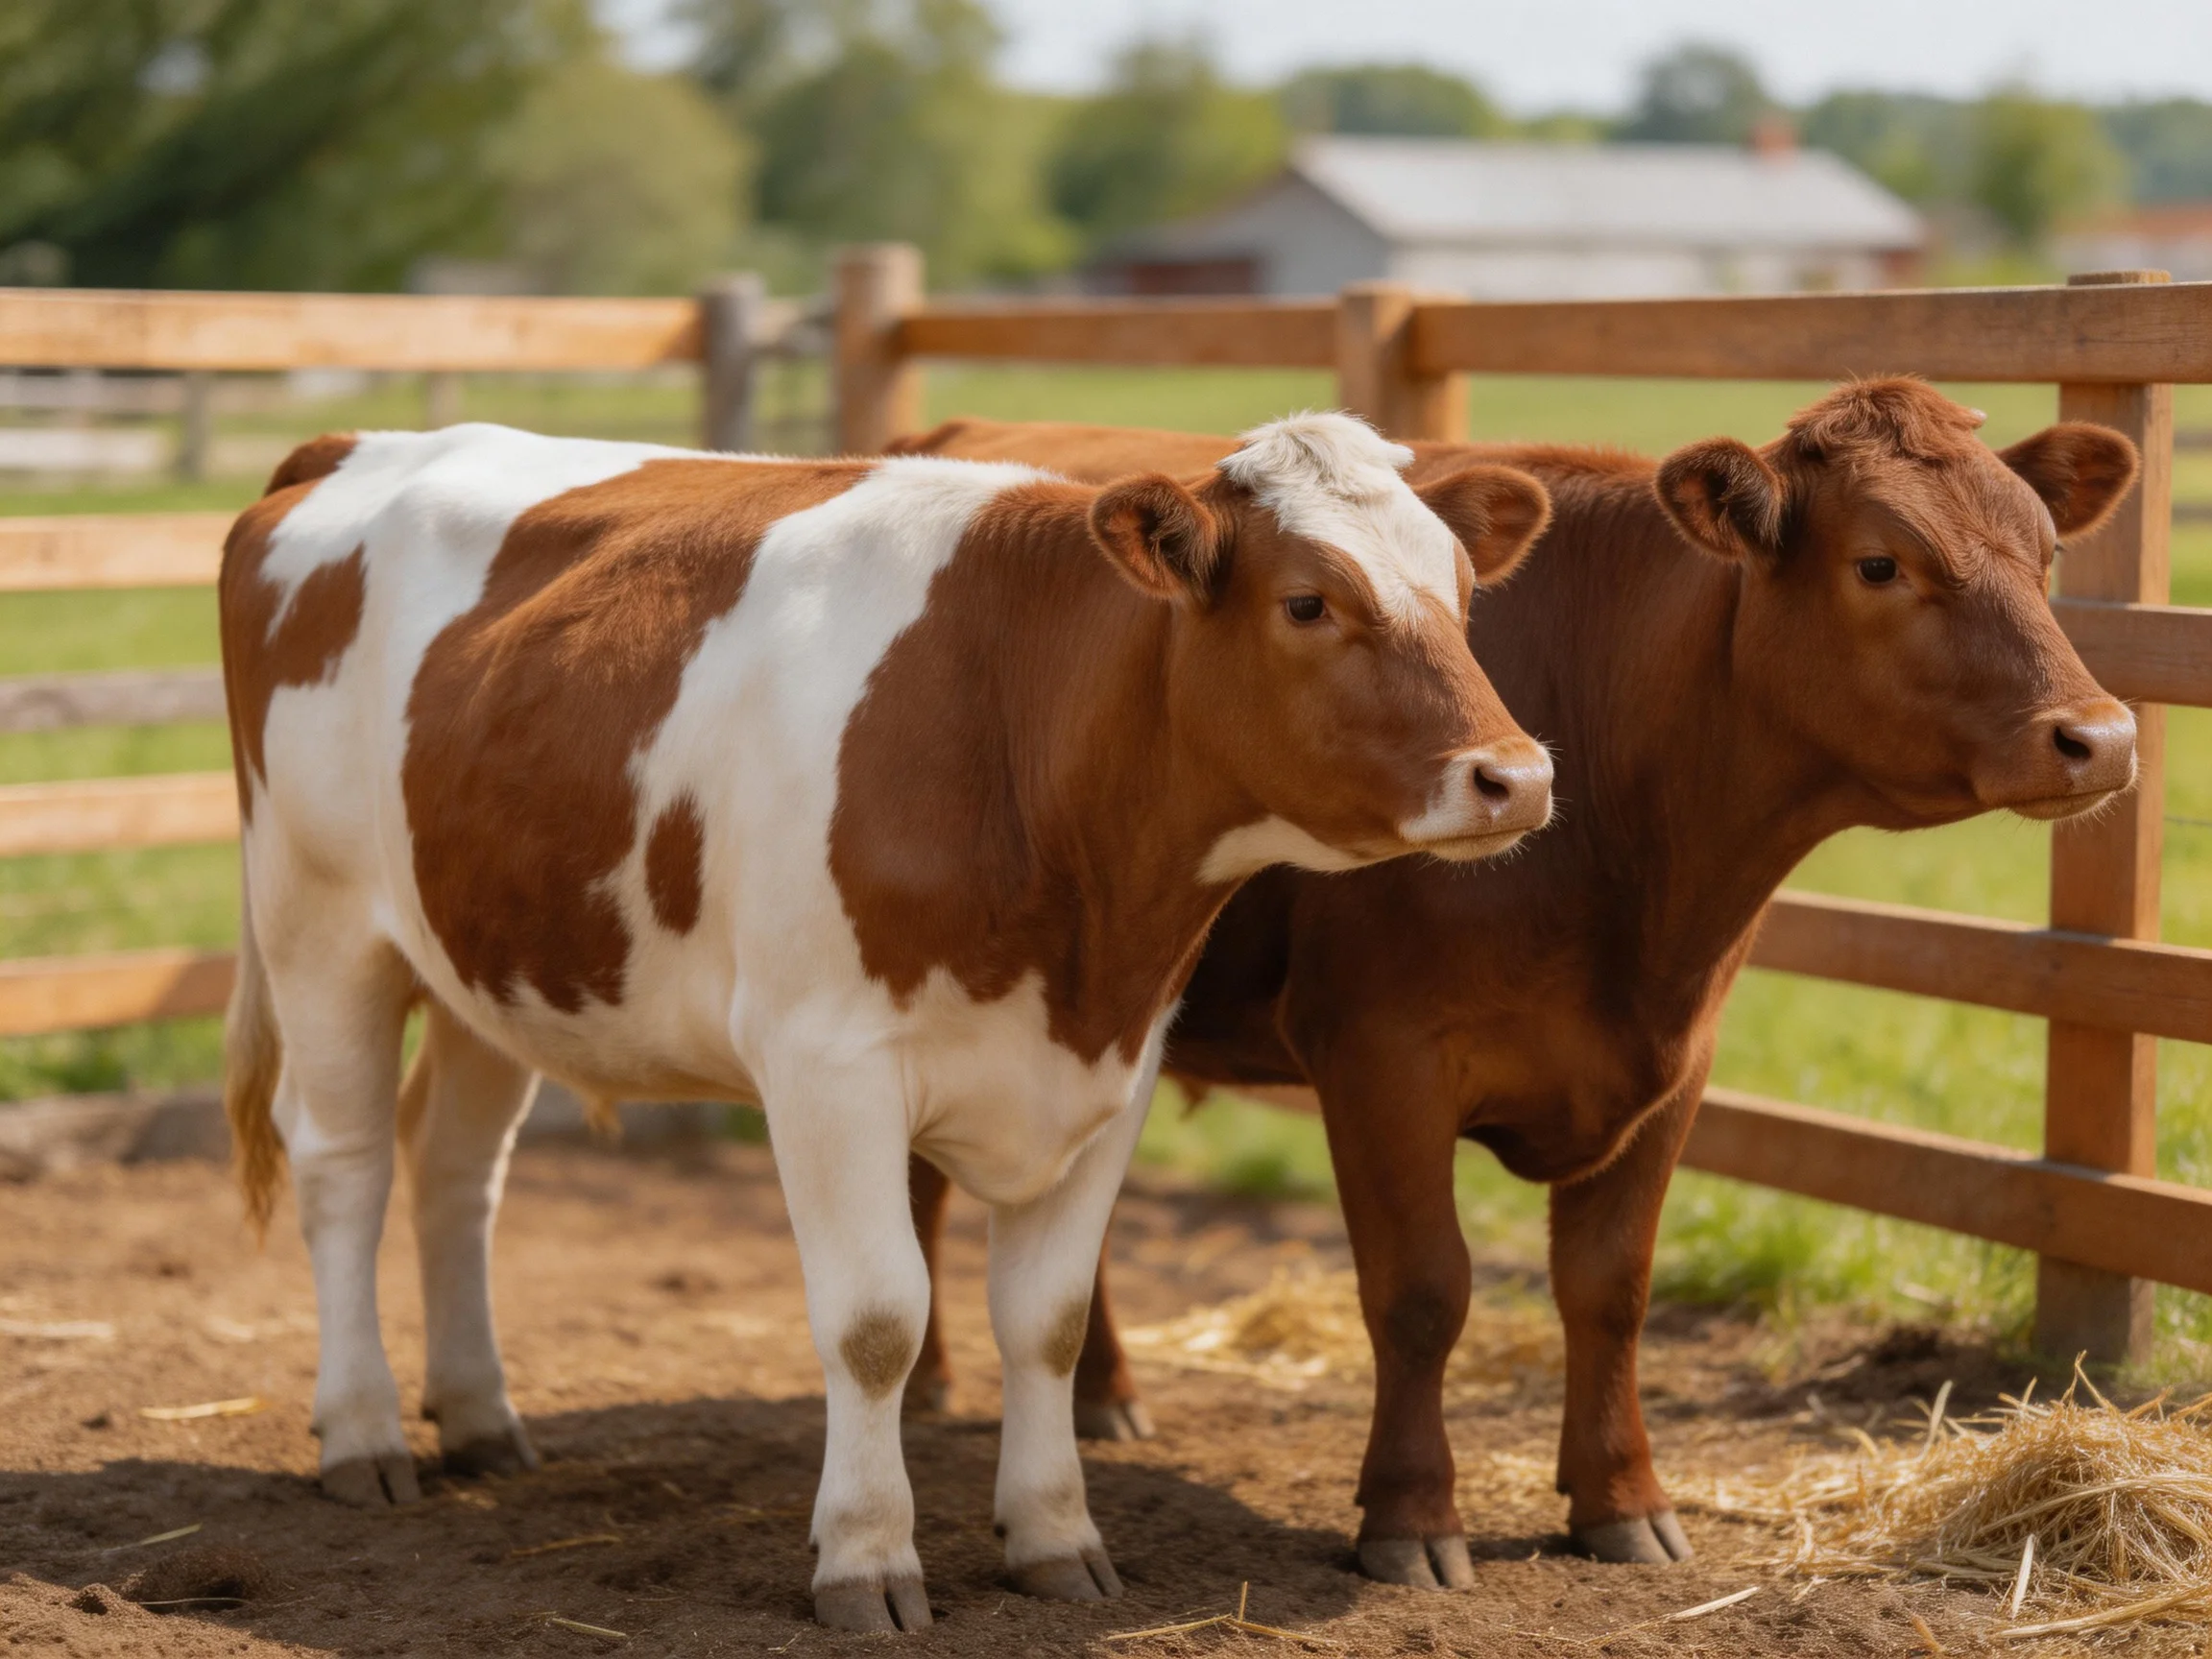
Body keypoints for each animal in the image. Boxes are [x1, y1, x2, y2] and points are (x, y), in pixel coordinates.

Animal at [216, 414, 1558, 1631]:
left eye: (1458, 591)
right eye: (1307, 603)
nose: (1518, 776)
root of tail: (355, 445)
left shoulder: (1113, 1063)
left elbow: (1048, 1322)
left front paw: (1055, 1539)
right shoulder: (827, 1066)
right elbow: (875, 1323)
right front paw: (866, 1560)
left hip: (489, 960)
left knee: (455, 1168)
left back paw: (482, 1419)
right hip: (320, 922)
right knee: (344, 1167)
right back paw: (363, 1435)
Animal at [891, 381, 2142, 1587]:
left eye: (2044, 553)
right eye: (1881, 562)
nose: (2101, 737)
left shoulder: (1675, 1068)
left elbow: (1610, 1289)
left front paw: (1622, 1500)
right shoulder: (1381, 1055)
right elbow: (1421, 1292)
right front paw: (1411, 1515)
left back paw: (1103, 1394)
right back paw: (933, 1386)